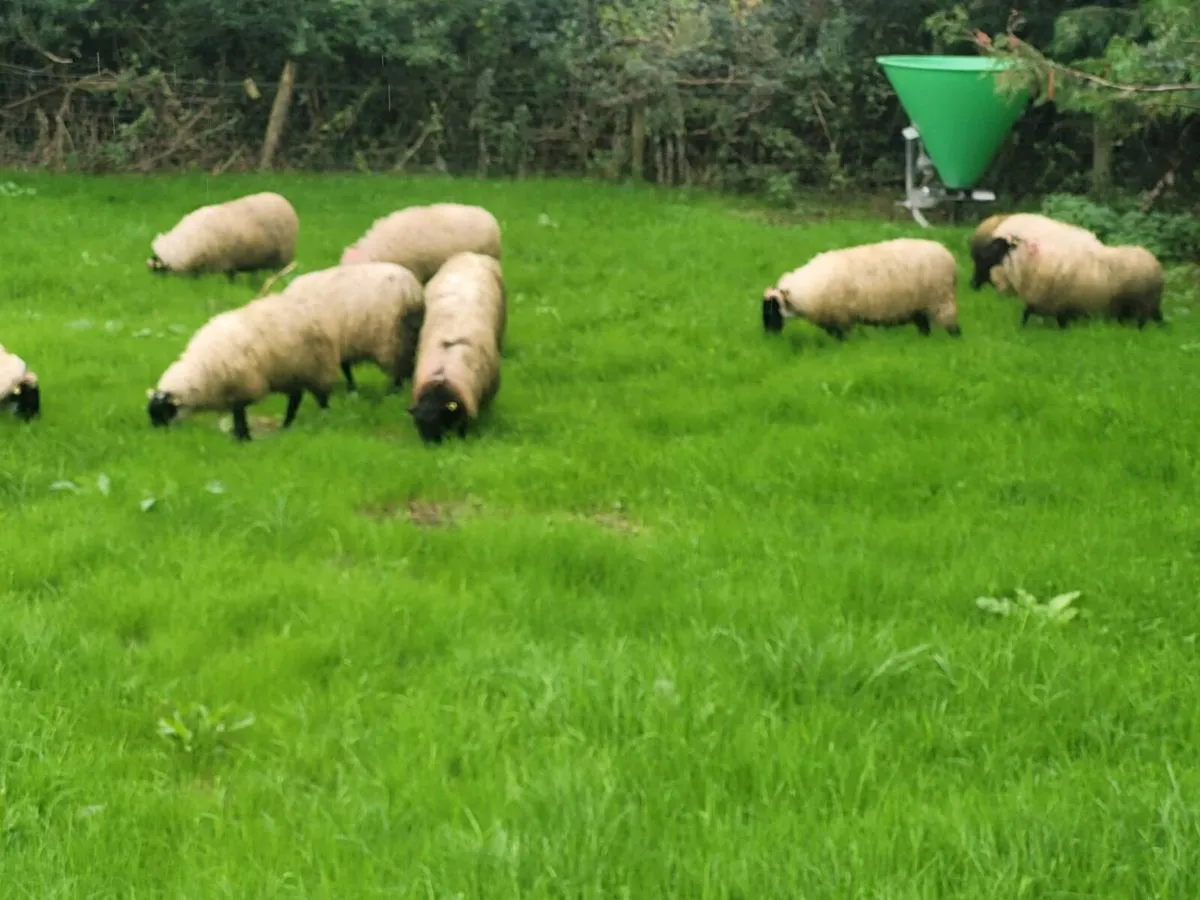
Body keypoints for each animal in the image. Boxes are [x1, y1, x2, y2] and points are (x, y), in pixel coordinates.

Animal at [146, 293, 341, 441]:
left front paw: (243, 438)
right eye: (152, 413)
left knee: (320, 396)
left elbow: (239, 415)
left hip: (317, 367)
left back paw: (323, 415)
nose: (158, 435)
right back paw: (287, 425)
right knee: (296, 396)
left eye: (164, 412)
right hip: (291, 372)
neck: (201, 368)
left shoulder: (242, 387)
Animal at [279, 262, 426, 393]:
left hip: (391, 337)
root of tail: (410, 291)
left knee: (398, 366)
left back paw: (395, 390)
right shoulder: (344, 344)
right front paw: (352, 388)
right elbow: (346, 367)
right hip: (408, 332)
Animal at [761, 238, 961, 341]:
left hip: (941, 299)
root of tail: (949, 255)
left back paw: (955, 340)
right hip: (919, 306)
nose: (768, 337)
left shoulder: (841, 318)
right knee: (924, 326)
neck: (807, 290)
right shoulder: (832, 320)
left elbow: (842, 338)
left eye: (772, 309)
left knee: (951, 325)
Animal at [972, 233, 1165, 329]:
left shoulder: (1057, 303)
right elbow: (1025, 315)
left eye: (996, 246)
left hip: (1142, 302)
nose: (979, 255)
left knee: (1142, 322)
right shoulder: (1042, 301)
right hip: (1137, 304)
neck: (1031, 262)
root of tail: (1155, 263)